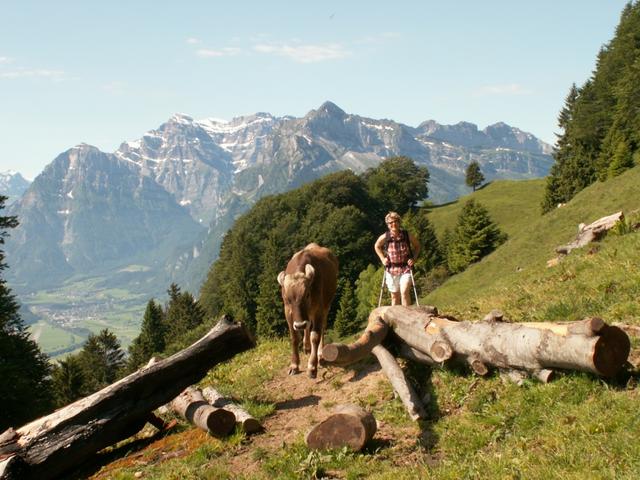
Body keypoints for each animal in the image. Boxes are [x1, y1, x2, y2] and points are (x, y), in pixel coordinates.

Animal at [278, 246, 340, 376]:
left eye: (307, 295)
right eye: (287, 298)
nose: (300, 324)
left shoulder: (319, 310)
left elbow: (315, 336)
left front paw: (312, 366)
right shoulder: (288, 312)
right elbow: (294, 338)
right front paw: (294, 365)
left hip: (326, 305)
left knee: (321, 328)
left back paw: (319, 353)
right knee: (308, 326)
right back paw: (306, 346)